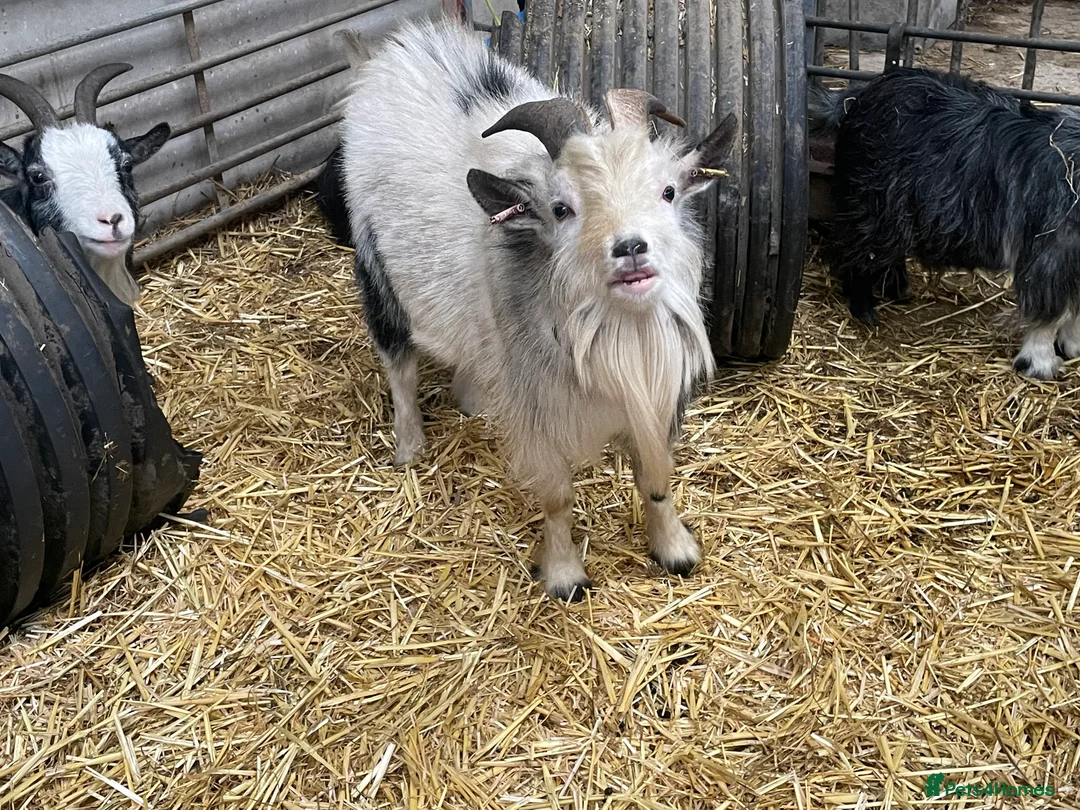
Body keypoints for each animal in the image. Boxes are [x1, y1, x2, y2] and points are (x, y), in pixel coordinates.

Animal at [339, 21, 737, 600]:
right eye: (561, 209)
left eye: (667, 191)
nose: (630, 248)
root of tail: (392, 54)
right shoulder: (538, 410)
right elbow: (557, 497)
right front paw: (566, 575)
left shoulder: (653, 396)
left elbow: (655, 479)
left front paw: (675, 550)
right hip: (376, 268)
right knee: (398, 362)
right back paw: (409, 445)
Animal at [810, 67, 1080, 380]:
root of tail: (858, 96)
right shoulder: (1049, 252)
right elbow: (1052, 312)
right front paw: (1039, 363)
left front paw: (1073, 346)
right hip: (872, 205)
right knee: (856, 253)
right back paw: (865, 310)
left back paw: (896, 288)